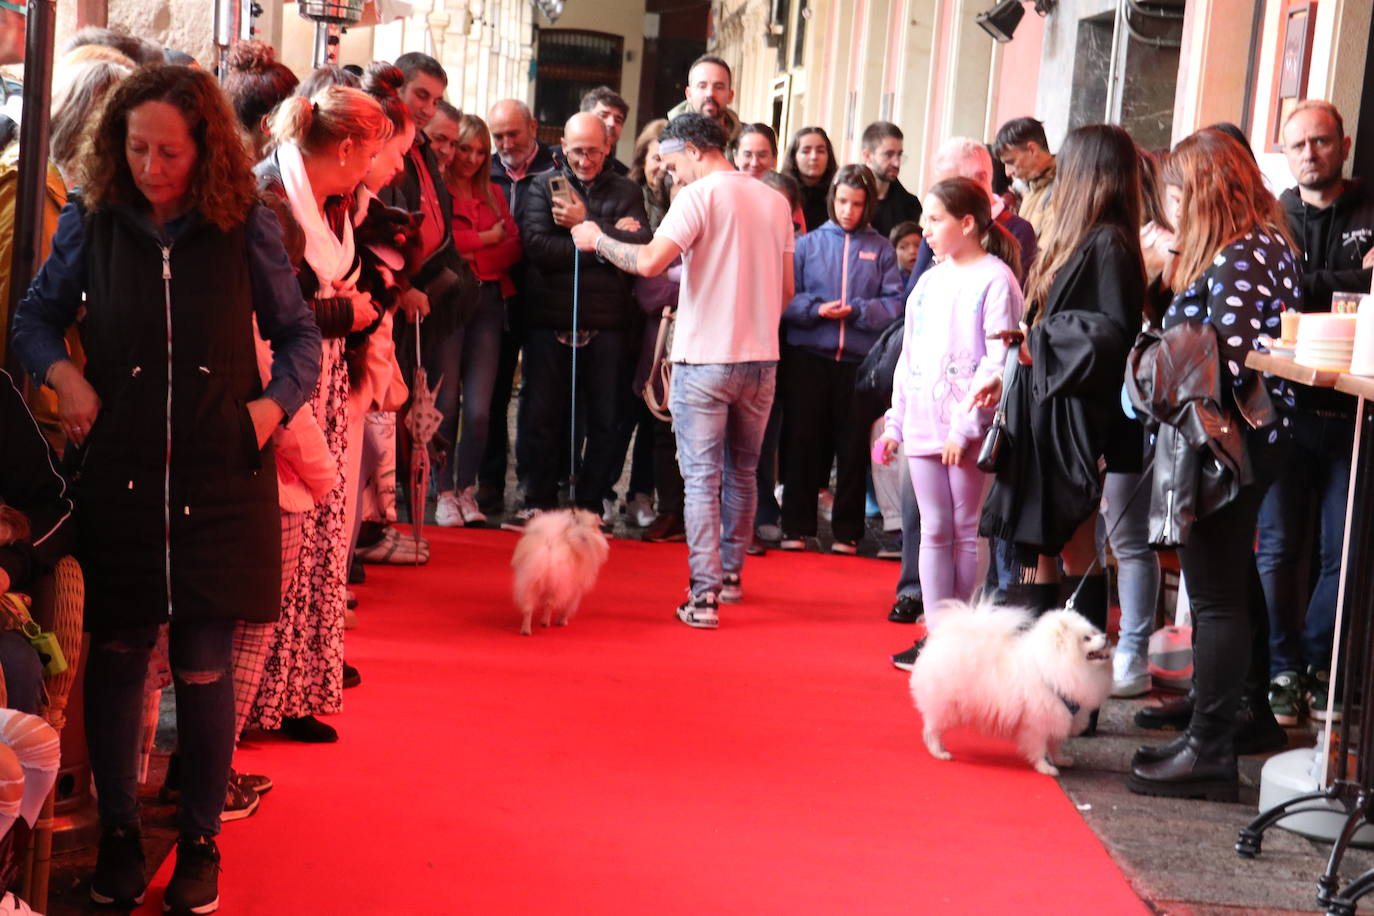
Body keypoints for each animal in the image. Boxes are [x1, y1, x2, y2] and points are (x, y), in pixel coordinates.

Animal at [511, 508, 607, 637]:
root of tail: (549, 548)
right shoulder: (575, 589)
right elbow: (566, 607)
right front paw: (562, 621)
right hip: (555, 586)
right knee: (548, 605)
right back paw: (545, 622)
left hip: (529, 583)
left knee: (528, 608)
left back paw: (526, 630)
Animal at [912, 601, 1115, 774]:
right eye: (1086, 638)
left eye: (1095, 631)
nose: (1106, 637)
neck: (1052, 671)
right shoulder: (1037, 722)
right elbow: (1038, 748)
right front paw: (1045, 768)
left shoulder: (1059, 717)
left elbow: (1055, 745)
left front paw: (1061, 760)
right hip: (948, 707)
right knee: (931, 730)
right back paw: (939, 752)